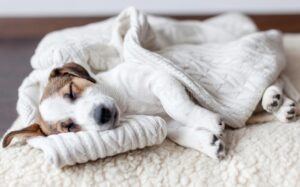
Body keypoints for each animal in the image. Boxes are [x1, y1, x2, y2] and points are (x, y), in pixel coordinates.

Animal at [2, 61, 298, 159]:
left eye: (72, 92)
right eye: (69, 127)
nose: (101, 115)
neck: (123, 101)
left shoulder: (163, 79)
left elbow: (179, 106)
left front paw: (208, 120)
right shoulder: (166, 119)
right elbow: (177, 131)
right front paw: (208, 142)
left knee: (279, 80)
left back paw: (274, 96)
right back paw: (279, 106)